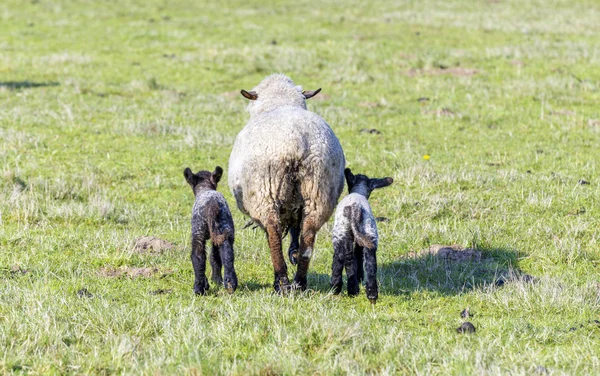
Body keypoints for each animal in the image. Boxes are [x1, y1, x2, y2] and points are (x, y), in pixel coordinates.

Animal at [184, 166, 238, 296]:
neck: (205, 188)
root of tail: (212, 205)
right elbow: (215, 257)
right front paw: (215, 281)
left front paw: (207, 283)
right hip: (225, 227)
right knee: (227, 254)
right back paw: (230, 283)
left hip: (198, 230)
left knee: (198, 256)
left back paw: (198, 288)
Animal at [227, 72, 344, 290]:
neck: (280, 103)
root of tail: (295, 143)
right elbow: (296, 228)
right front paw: (294, 253)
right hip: (318, 191)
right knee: (308, 233)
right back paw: (299, 281)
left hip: (265, 192)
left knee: (273, 233)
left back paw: (281, 281)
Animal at [328, 169, 394, 304]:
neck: (359, 191)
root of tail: (355, 208)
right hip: (367, 232)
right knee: (369, 263)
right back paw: (370, 294)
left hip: (343, 233)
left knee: (345, 258)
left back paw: (345, 289)